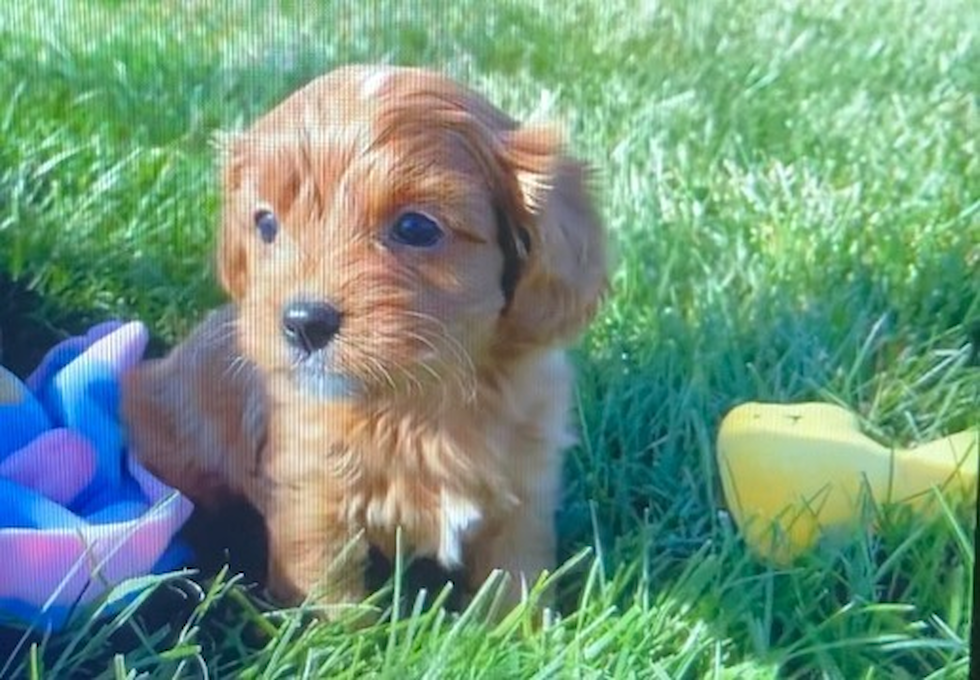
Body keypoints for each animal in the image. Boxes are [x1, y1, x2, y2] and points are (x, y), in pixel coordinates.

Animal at [122, 65, 604, 612]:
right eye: (266, 223)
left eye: (416, 227)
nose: (303, 321)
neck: (419, 404)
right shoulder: (311, 494)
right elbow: (328, 593)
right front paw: (341, 633)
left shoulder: (525, 493)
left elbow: (517, 578)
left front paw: (523, 628)